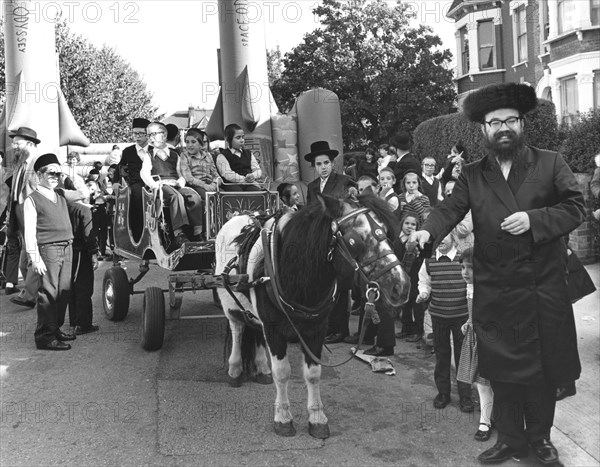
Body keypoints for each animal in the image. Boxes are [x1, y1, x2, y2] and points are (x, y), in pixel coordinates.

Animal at [213, 194, 410, 438]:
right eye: (354, 240)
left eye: (386, 231)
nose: (401, 286)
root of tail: (238, 217)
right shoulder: (274, 328)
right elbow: (282, 372)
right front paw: (283, 418)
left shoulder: (316, 327)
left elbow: (314, 373)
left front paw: (317, 418)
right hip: (228, 301)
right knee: (238, 330)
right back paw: (235, 369)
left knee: (255, 330)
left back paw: (261, 368)